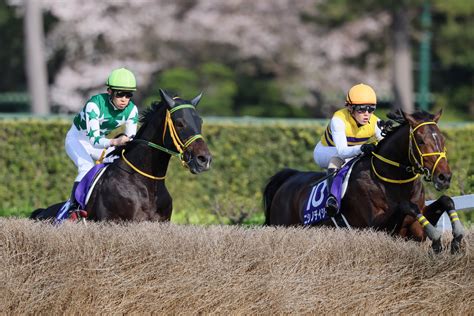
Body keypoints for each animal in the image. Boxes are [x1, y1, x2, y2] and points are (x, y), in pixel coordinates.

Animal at [264, 110, 464, 253]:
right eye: (421, 141)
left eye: (443, 139)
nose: (444, 177)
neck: (394, 181)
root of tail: (289, 177)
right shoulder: (376, 227)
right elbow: (408, 206)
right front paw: (437, 236)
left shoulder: (414, 233)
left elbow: (446, 200)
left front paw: (457, 237)